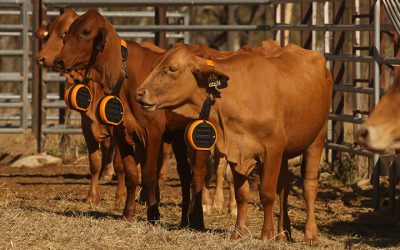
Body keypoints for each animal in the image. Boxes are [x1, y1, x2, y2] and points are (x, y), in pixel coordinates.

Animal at [34, 8, 125, 207]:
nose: (41, 58)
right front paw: (92, 196)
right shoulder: (87, 125)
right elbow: (95, 162)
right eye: (48, 33)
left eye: (63, 34)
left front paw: (120, 198)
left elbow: (120, 162)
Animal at [136, 43, 332, 242]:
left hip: (317, 139)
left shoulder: (272, 149)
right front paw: (239, 232)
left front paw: (266, 234)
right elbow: (242, 194)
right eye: (154, 67)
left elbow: (267, 193)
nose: (139, 93)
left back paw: (310, 234)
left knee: (309, 186)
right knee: (284, 187)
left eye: (172, 68)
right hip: (285, 153)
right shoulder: (236, 150)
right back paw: (283, 233)